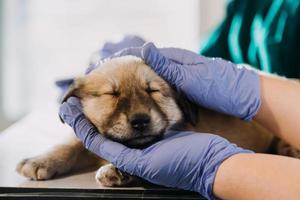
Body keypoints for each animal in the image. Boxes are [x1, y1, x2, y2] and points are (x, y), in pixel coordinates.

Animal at [17, 55, 300, 187]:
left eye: (153, 90)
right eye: (112, 93)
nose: (141, 120)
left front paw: (119, 171)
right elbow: (71, 145)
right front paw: (40, 161)